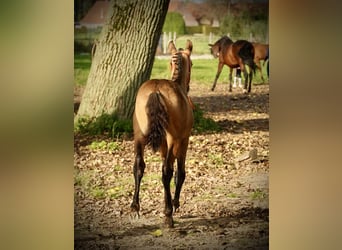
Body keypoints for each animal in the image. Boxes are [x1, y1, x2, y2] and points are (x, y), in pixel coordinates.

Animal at [131, 40, 194, 228]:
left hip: (139, 136)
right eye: (192, 64)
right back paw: (168, 215)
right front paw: (174, 203)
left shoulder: (164, 146)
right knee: (167, 171)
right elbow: (179, 172)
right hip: (174, 139)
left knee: (138, 166)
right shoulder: (183, 140)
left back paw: (135, 207)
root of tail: (156, 90)